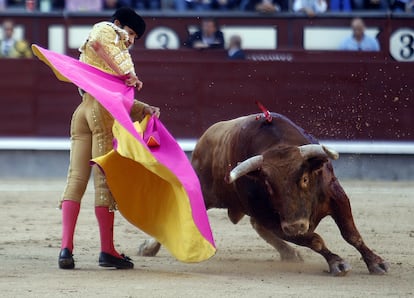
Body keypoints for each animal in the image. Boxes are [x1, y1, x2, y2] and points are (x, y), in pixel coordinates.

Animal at [141, 113, 390, 276]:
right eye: (269, 185)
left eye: (305, 179)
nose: (296, 226)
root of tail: (204, 139)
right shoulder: (276, 221)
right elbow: (315, 240)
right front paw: (336, 263)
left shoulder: (336, 196)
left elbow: (351, 234)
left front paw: (376, 263)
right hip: (204, 191)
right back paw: (149, 247)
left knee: (256, 226)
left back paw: (289, 253)